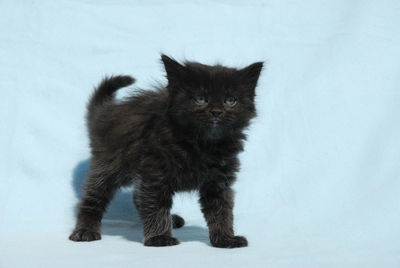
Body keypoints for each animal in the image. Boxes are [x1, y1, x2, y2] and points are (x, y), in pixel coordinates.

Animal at [69, 55, 262, 249]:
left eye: (230, 100)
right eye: (200, 98)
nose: (216, 112)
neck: (200, 144)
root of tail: (106, 114)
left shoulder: (219, 181)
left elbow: (222, 210)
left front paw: (225, 238)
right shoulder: (155, 173)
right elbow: (156, 205)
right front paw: (159, 237)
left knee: (137, 194)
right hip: (109, 165)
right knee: (93, 197)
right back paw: (85, 230)